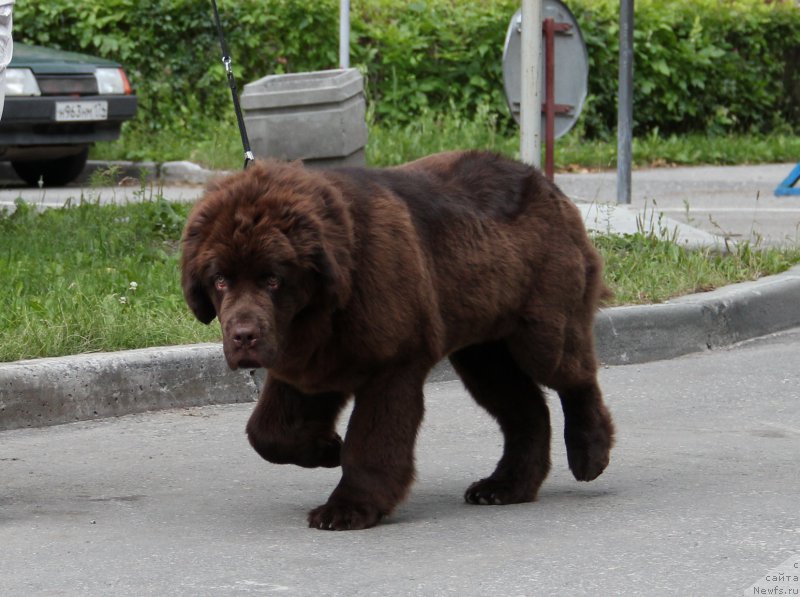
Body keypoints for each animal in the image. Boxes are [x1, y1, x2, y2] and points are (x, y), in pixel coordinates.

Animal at [181, 151, 616, 528]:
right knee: (527, 410)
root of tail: (544, 181)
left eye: (273, 279)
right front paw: (328, 448)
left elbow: (372, 441)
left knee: (577, 379)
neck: (328, 304)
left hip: (543, 331)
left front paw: (349, 508)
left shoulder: (391, 366)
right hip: (482, 353)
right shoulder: (306, 367)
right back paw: (506, 486)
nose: (244, 336)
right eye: (220, 280)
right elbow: (267, 433)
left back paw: (590, 454)